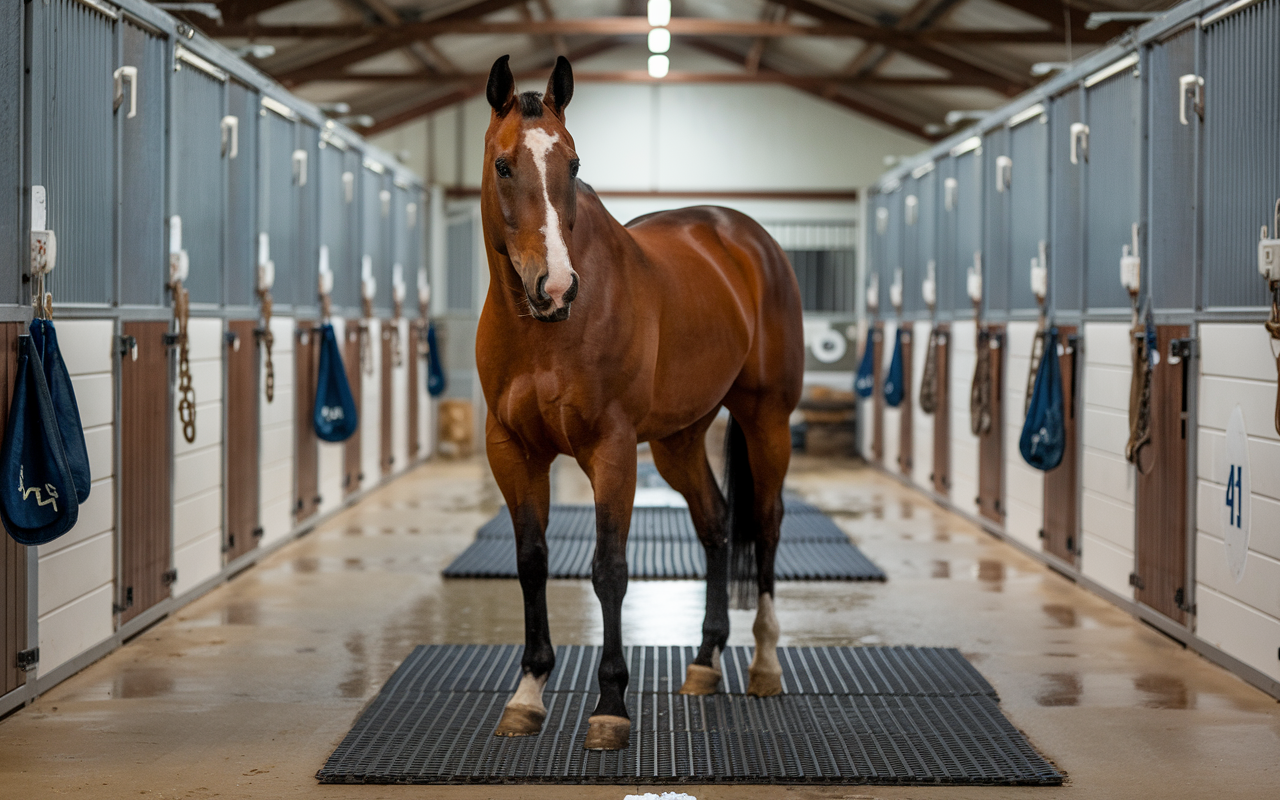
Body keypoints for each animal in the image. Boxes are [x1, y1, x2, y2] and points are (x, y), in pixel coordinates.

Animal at [476, 54, 803, 747]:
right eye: (503, 165)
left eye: (574, 164)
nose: (556, 287)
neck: (544, 332)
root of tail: (745, 238)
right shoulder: (512, 450)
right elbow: (531, 560)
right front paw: (528, 694)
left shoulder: (613, 448)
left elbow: (609, 569)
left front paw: (610, 706)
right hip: (680, 439)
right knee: (715, 523)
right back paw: (705, 662)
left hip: (766, 418)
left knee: (765, 523)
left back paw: (764, 663)